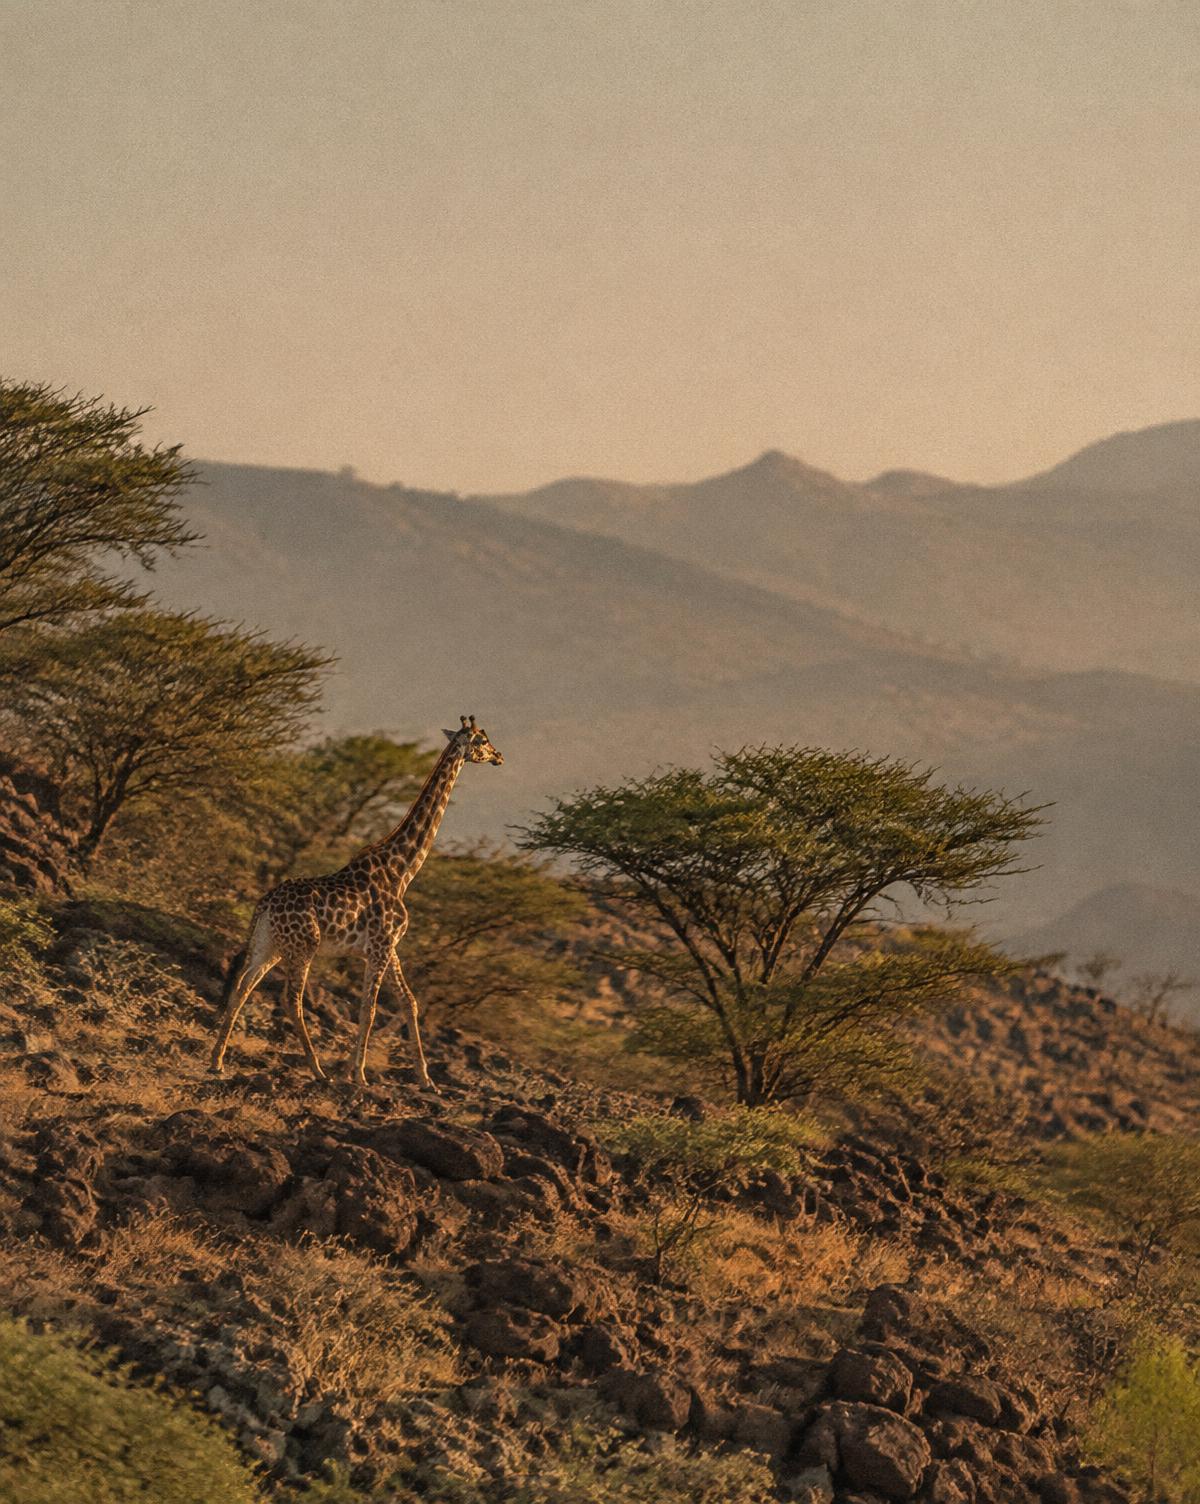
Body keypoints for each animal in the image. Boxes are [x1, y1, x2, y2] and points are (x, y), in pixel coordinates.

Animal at [209, 715, 503, 1087]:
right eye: (483, 740)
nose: (499, 756)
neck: (402, 869)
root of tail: (266, 904)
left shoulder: (388, 946)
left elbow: (409, 1001)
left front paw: (425, 1078)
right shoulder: (380, 945)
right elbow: (370, 1007)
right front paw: (359, 1074)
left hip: (268, 945)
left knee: (241, 988)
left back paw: (217, 1061)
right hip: (304, 947)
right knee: (291, 999)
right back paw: (317, 1070)